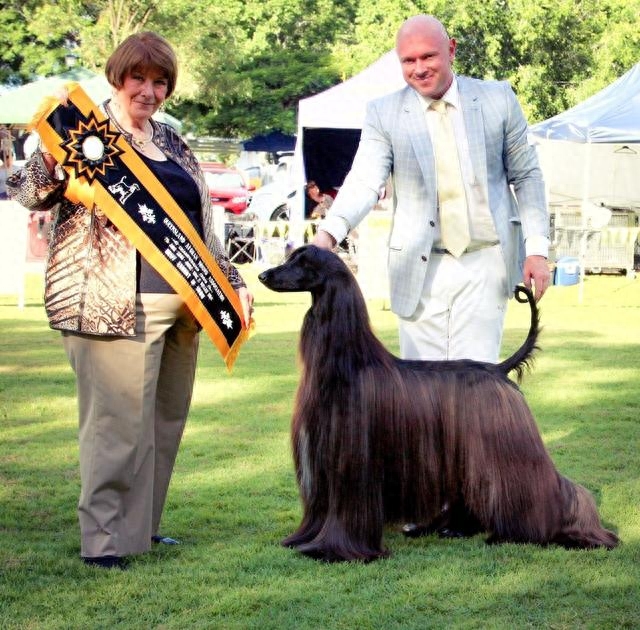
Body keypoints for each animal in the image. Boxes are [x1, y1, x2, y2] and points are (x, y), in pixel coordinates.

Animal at [258, 246, 616, 564]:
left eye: (303, 262)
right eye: (290, 256)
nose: (262, 275)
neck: (349, 362)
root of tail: (498, 369)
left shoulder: (351, 461)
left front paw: (334, 551)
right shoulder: (321, 463)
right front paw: (303, 540)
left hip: (509, 446)